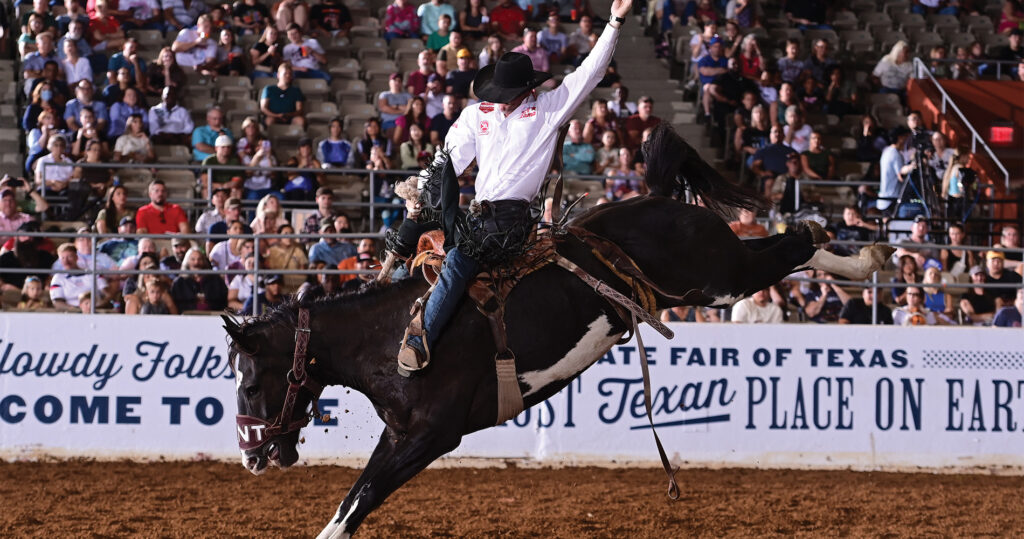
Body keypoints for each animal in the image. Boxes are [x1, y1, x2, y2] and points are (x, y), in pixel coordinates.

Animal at [226, 123, 897, 539]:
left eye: (251, 384)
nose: (252, 456)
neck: (391, 339)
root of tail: (655, 200)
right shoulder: (403, 436)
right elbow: (350, 503)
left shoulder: (428, 436)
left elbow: (354, 505)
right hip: (715, 278)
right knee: (782, 246)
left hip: (720, 277)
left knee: (792, 245)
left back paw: (863, 259)